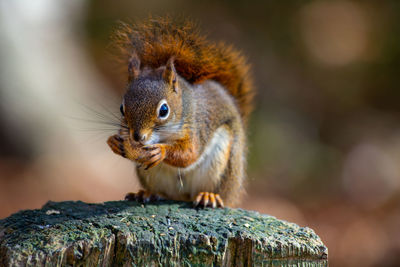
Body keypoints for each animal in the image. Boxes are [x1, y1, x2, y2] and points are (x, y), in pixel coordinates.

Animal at [107, 17, 253, 209]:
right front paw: (114, 142)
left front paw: (161, 151)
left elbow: (190, 154)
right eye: (121, 108)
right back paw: (147, 193)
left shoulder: (197, 128)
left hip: (225, 166)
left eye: (164, 110)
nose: (137, 137)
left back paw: (209, 196)